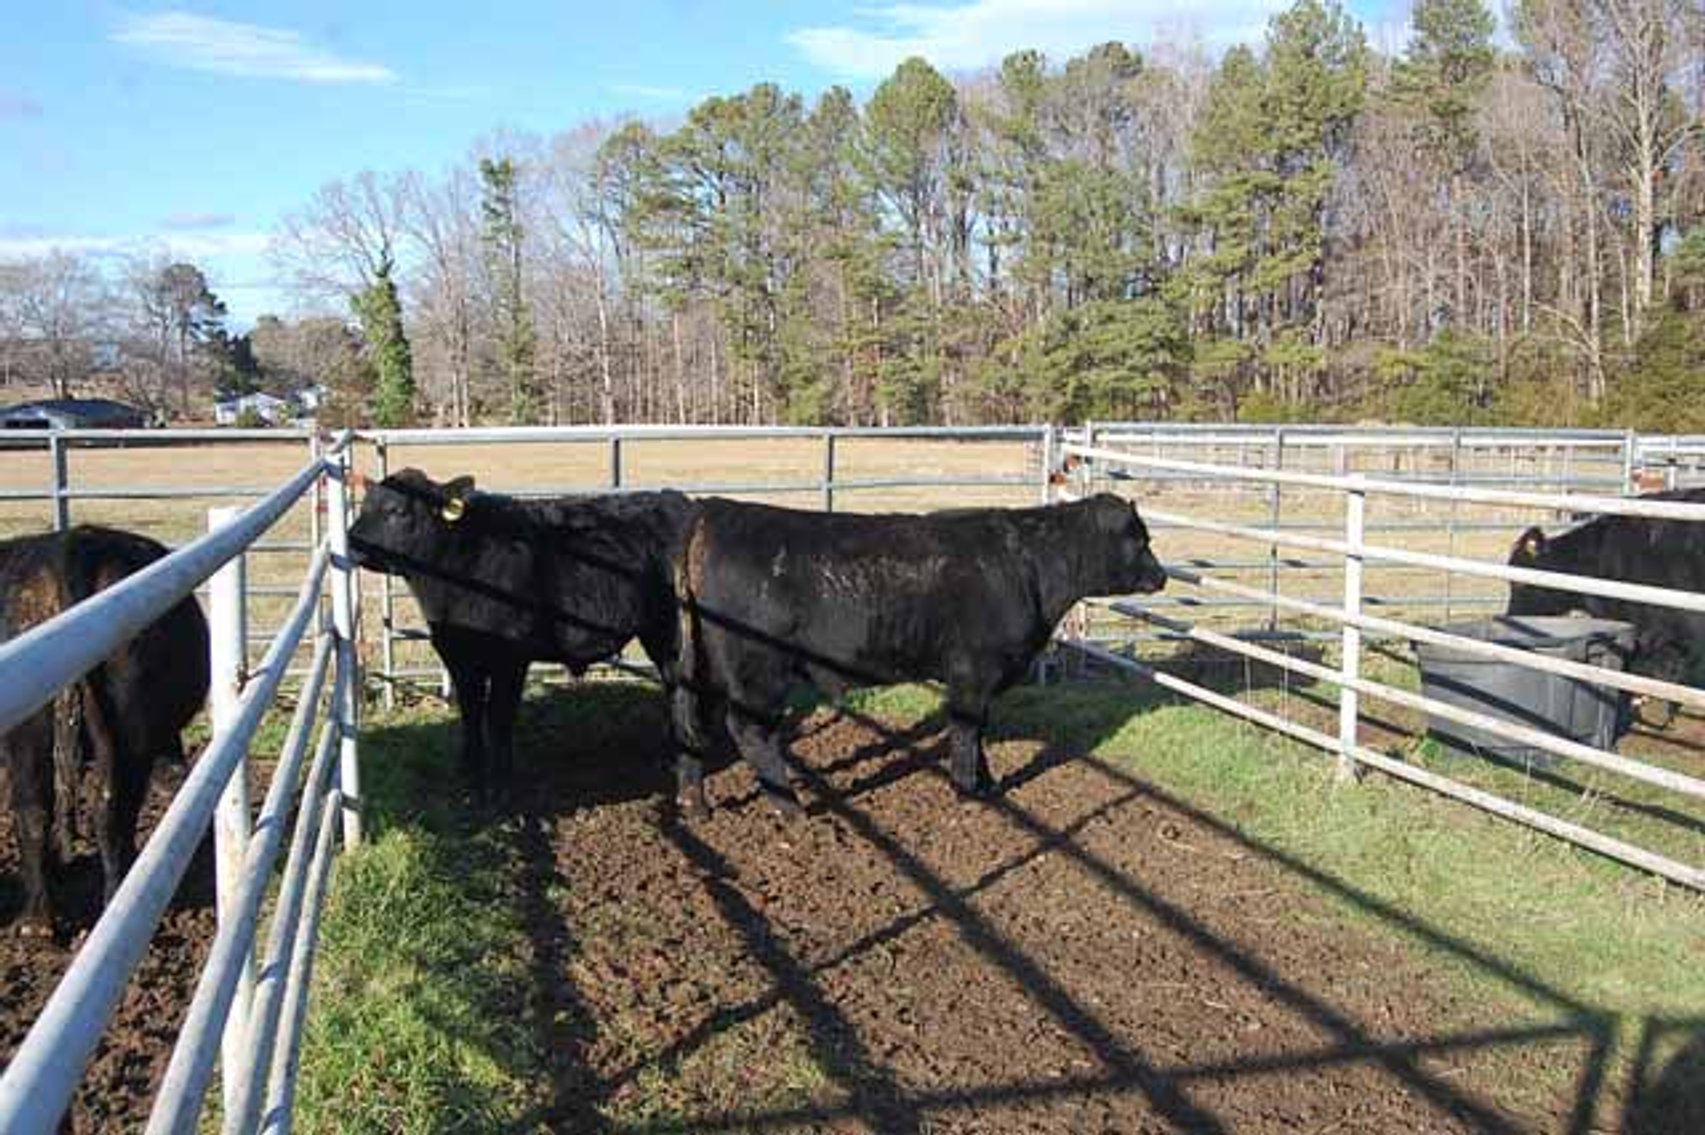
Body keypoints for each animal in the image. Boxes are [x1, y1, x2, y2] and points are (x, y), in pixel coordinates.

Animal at [2, 526, 209, 935]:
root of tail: (72, 546)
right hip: (118, 740)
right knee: (100, 811)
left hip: (43, 735)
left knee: (44, 812)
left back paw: (43, 920)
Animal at [346, 469, 697, 799]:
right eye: (365, 505)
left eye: (397, 510)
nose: (350, 543)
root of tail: (679, 501)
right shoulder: (457, 654)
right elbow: (470, 713)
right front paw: (469, 774)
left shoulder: (510, 659)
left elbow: (499, 717)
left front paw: (500, 785)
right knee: (672, 683)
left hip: (672, 630)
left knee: (681, 685)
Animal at [670, 492, 1169, 817]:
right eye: (1138, 538)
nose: (1162, 576)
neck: (1028, 565)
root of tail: (713, 511)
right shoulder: (973, 671)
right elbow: (967, 731)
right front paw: (968, 790)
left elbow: (979, 731)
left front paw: (988, 785)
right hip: (757, 667)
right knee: (747, 728)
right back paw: (789, 805)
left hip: (709, 665)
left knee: (696, 721)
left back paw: (695, 804)